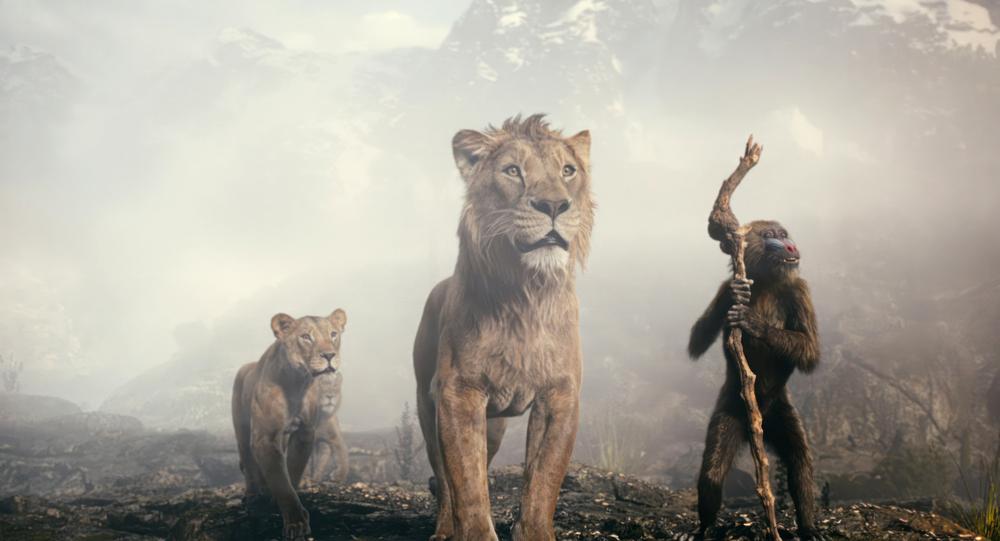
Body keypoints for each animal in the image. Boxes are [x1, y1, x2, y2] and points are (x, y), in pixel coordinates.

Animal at [231, 309, 347, 541]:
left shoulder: (304, 434)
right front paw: (296, 523)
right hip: (242, 429)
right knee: (248, 463)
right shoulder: (264, 438)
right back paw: (253, 496)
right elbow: (280, 480)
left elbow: (291, 471)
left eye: (333, 334)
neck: (297, 383)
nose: (329, 355)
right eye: (306, 337)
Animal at [413, 114, 594, 541]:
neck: (527, 294)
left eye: (568, 171)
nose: (554, 204)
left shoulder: (560, 395)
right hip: (428, 405)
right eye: (513, 171)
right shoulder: (458, 393)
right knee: (444, 479)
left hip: (494, 425)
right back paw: (444, 529)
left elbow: (544, 479)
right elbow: (467, 483)